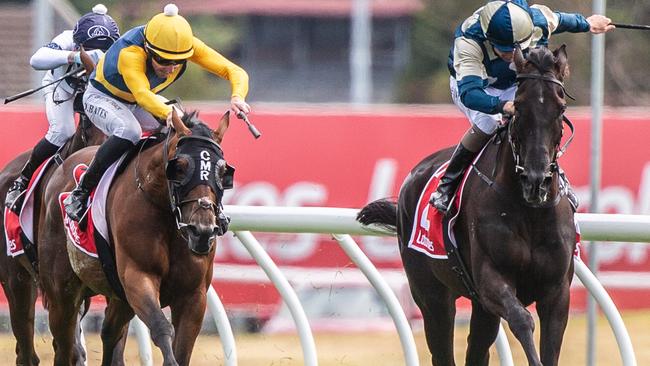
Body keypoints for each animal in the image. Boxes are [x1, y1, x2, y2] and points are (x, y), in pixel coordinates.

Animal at [39, 110, 233, 364]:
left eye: (222, 171)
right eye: (179, 167)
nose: (202, 231)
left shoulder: (193, 295)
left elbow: (182, 348)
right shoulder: (138, 277)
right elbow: (160, 327)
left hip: (118, 297)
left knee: (109, 333)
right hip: (62, 292)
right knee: (64, 343)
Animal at [356, 45, 576, 366]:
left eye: (560, 109)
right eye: (519, 106)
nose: (536, 181)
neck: (529, 211)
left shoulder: (557, 292)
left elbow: (549, 347)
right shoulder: (490, 280)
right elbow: (522, 320)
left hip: (479, 307)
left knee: (476, 350)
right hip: (432, 296)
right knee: (442, 349)